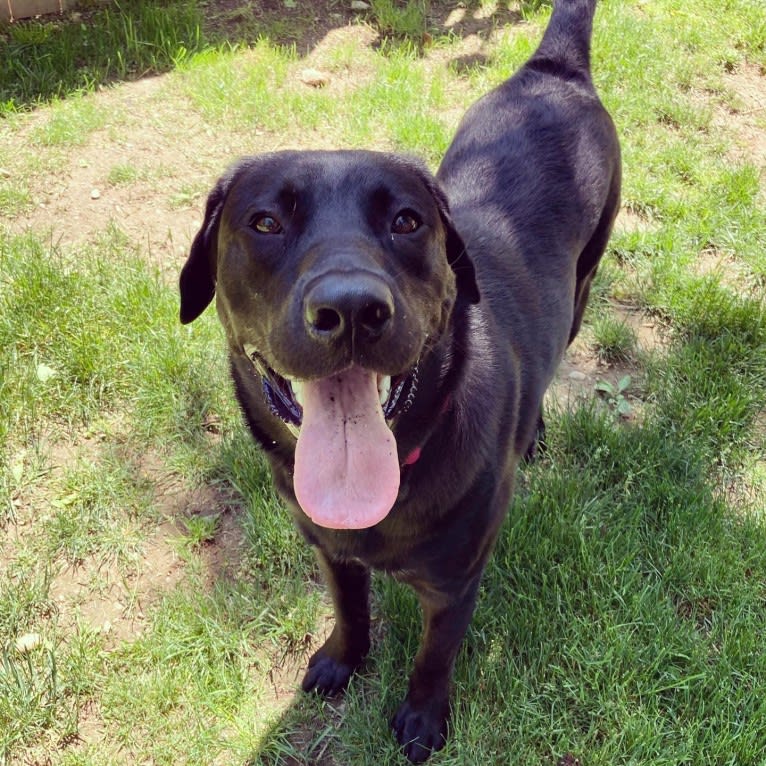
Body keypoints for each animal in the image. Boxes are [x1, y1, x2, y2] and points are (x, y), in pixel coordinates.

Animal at [178, 0, 616, 760]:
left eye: (407, 221)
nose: (352, 308)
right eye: (265, 221)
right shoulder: (329, 548)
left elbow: (434, 656)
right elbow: (350, 609)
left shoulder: (455, 582)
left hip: (585, 281)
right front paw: (341, 660)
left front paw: (422, 718)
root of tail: (553, 68)